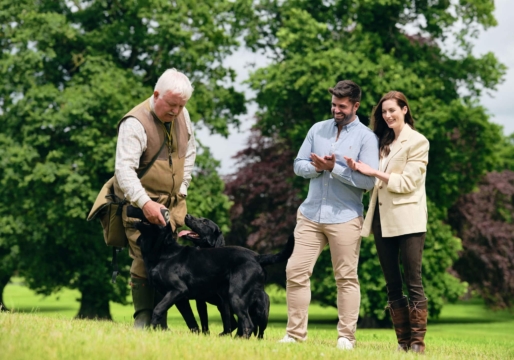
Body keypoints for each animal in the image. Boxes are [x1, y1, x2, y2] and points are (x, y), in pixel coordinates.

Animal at [133, 211, 292, 338]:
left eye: (204, 221)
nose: (186, 215)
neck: (162, 252)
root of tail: (257, 257)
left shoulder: (178, 290)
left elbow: (158, 309)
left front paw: (151, 331)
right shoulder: (182, 299)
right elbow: (191, 320)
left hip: (236, 297)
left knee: (248, 324)